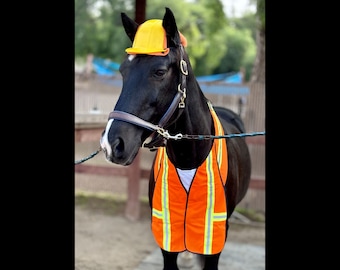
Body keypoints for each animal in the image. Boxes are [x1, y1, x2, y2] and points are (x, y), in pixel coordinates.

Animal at [99, 7, 251, 268]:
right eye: (122, 71)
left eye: (159, 72)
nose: (112, 144)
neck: (188, 159)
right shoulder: (166, 234)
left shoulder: (215, 236)